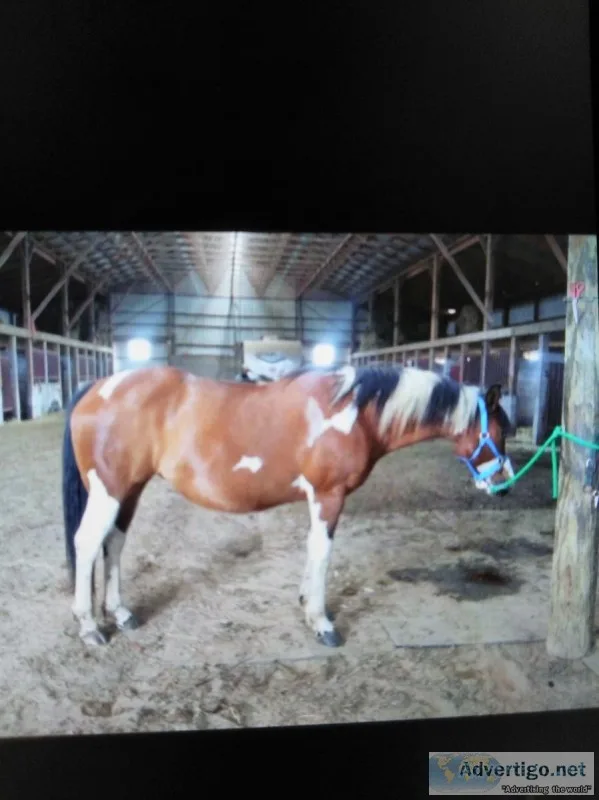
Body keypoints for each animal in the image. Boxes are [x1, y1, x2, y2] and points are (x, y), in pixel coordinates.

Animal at [61, 363, 514, 648]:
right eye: (500, 430)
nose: (504, 487)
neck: (353, 411)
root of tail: (97, 387)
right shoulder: (329, 496)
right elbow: (323, 551)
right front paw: (322, 622)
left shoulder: (317, 498)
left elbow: (312, 548)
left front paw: (305, 605)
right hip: (109, 490)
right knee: (87, 543)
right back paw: (89, 626)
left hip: (130, 490)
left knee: (114, 543)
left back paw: (120, 613)